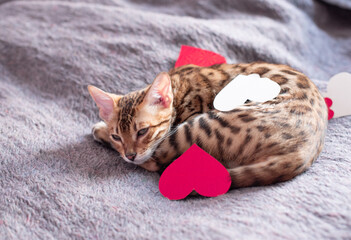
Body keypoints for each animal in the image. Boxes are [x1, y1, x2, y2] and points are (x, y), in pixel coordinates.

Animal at [88, 62, 330, 188]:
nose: (129, 155)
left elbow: (152, 157)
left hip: (200, 126)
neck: (178, 86)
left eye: (143, 131)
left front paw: (100, 129)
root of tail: (302, 152)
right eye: (117, 136)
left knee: (156, 162)